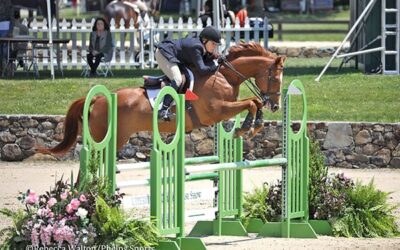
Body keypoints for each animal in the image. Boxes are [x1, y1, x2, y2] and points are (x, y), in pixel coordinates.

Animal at [43, 42, 284, 154]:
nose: (275, 105)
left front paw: (253, 126)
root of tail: (98, 100)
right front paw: (247, 128)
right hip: (107, 136)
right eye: (275, 78)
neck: (224, 75)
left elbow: (253, 102)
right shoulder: (216, 111)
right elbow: (251, 103)